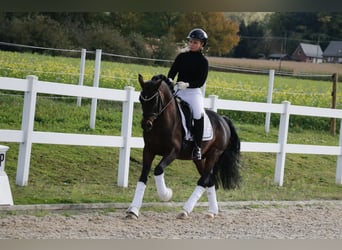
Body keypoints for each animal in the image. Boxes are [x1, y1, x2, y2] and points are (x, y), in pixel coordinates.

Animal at [125, 73, 240, 219]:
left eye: (155, 100)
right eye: (141, 99)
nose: (146, 125)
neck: (162, 123)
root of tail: (223, 120)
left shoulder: (173, 152)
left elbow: (158, 169)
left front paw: (166, 194)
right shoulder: (149, 150)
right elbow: (143, 176)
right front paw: (133, 210)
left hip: (214, 154)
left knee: (203, 180)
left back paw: (185, 210)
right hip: (199, 159)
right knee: (209, 180)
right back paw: (212, 211)